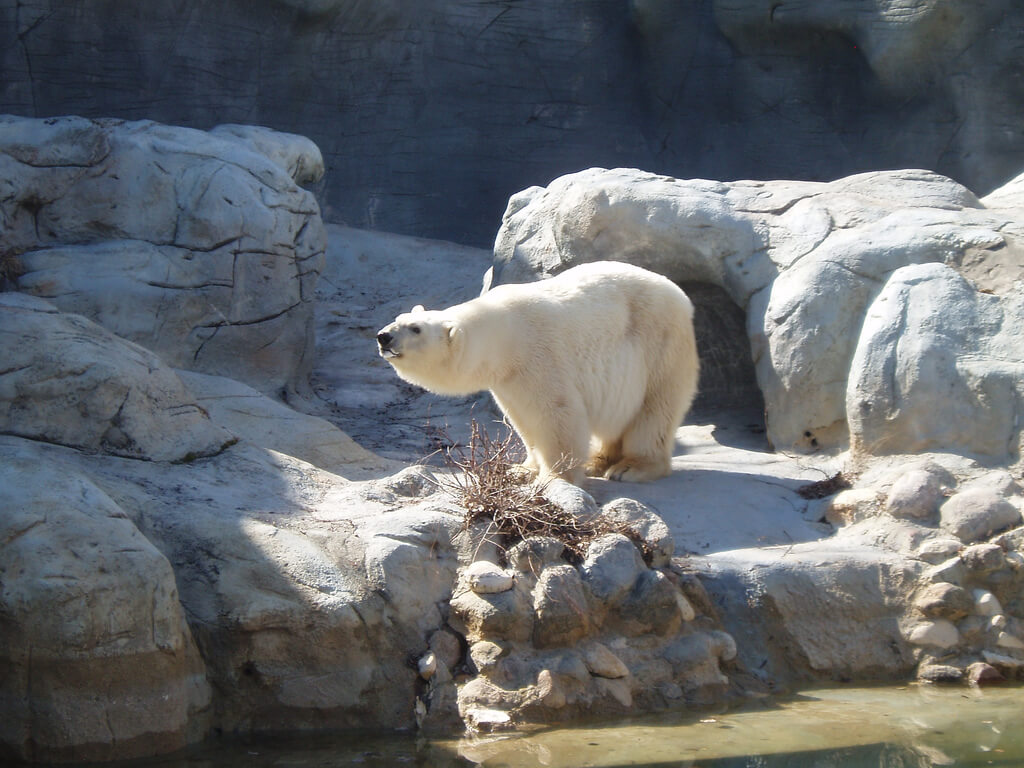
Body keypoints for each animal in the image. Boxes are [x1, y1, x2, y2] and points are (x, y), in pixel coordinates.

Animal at [376, 260, 699, 486]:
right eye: (399, 318)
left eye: (415, 329)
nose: (383, 336)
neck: (504, 334)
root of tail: (682, 298)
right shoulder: (508, 379)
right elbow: (523, 420)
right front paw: (522, 470)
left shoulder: (538, 357)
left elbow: (557, 413)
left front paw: (555, 477)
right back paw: (597, 461)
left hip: (659, 347)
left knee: (654, 411)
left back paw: (630, 467)